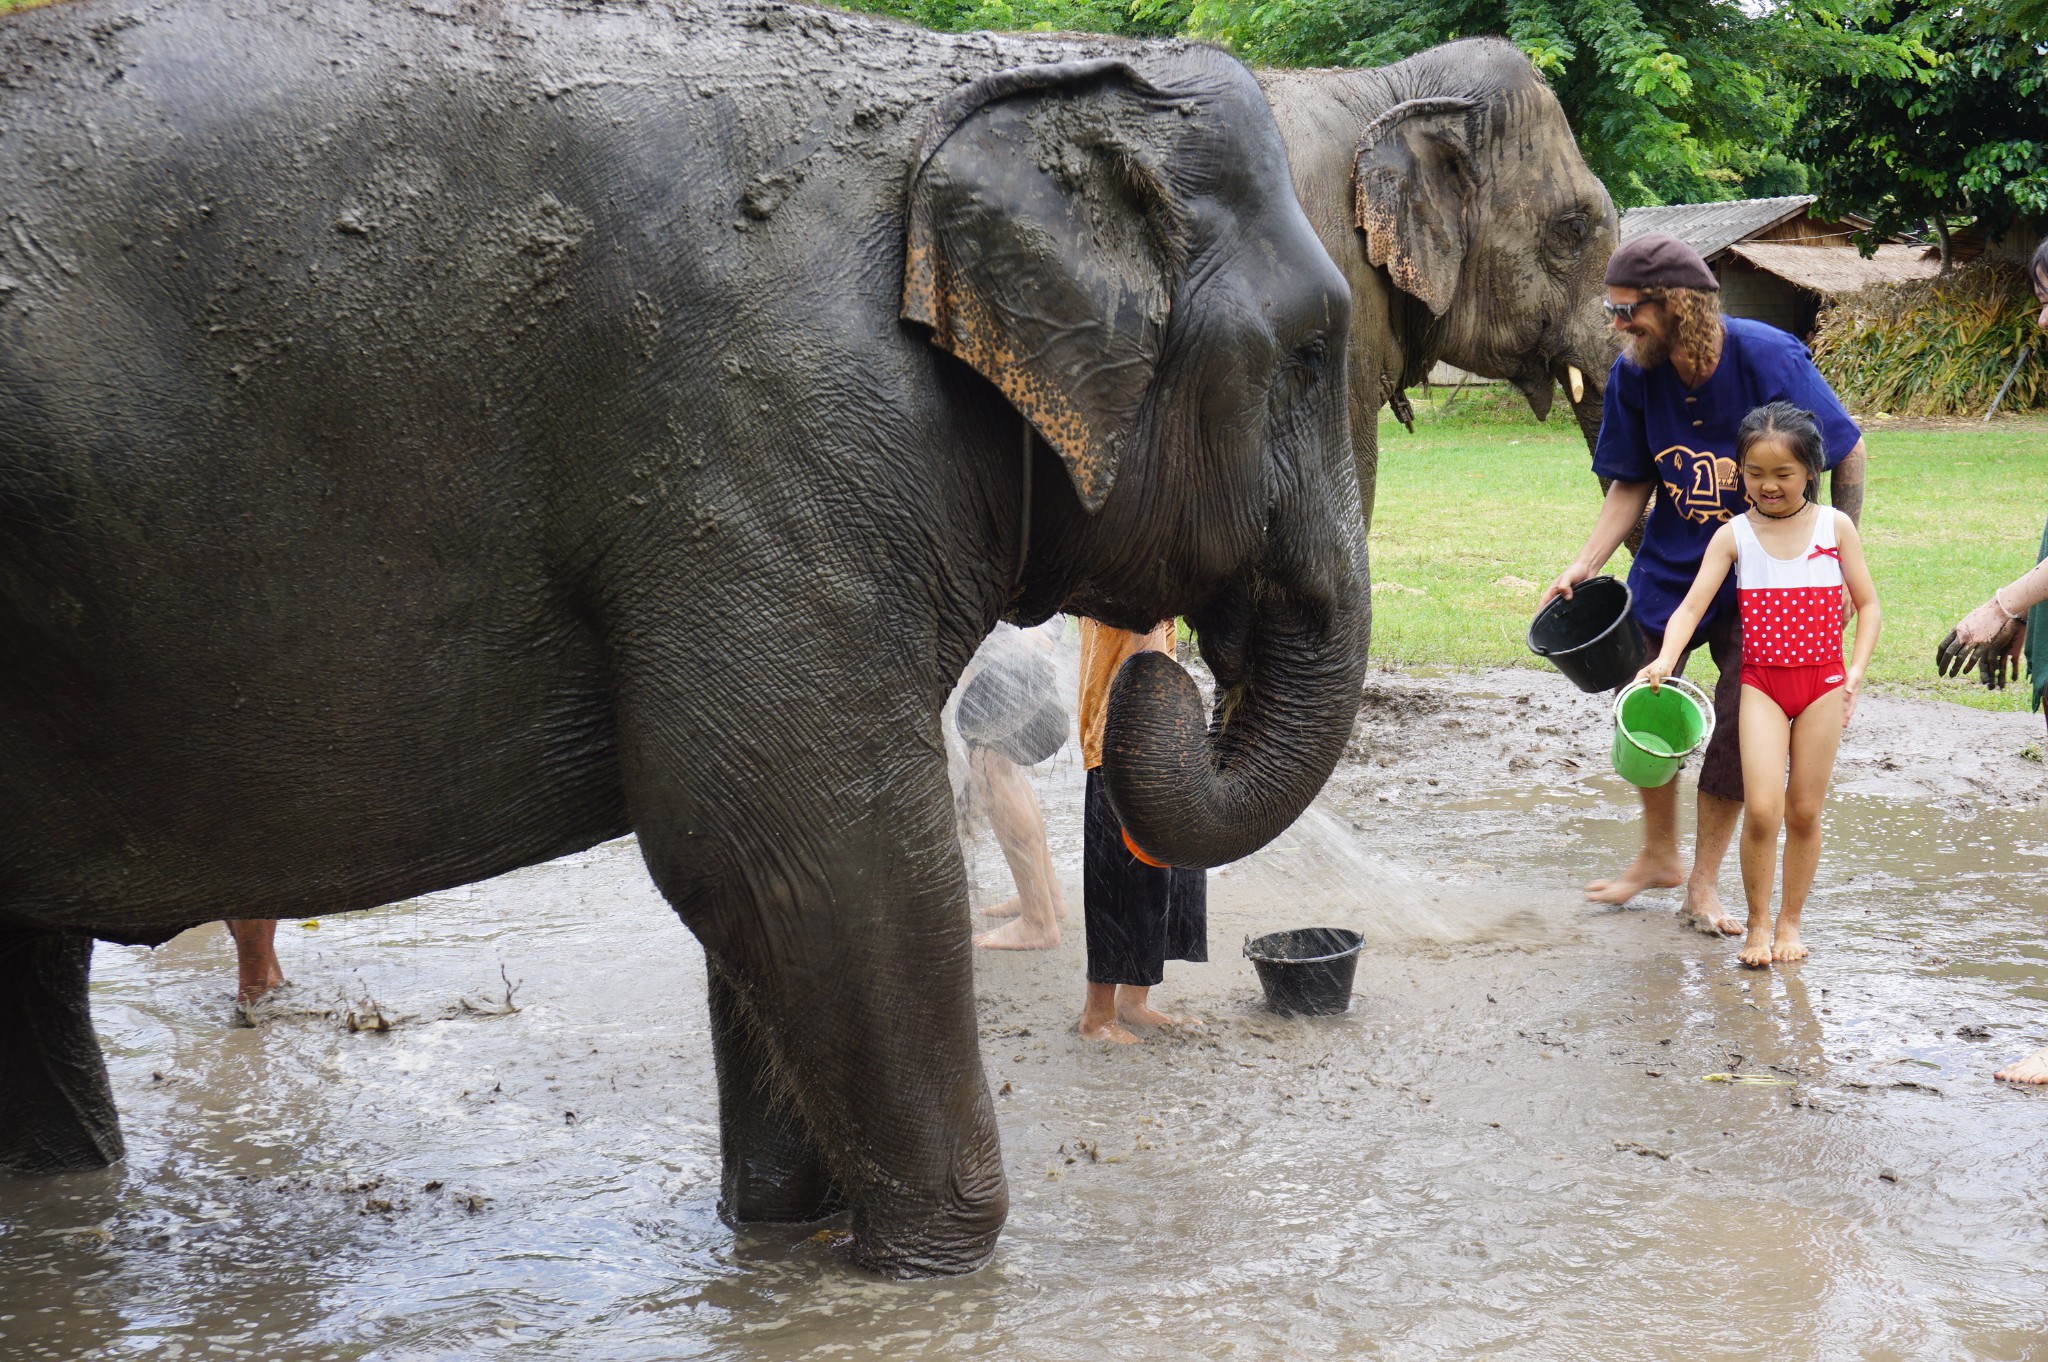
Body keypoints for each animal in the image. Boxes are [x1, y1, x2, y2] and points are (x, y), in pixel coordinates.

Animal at [4, 0, 1376, 1278]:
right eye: (1311, 352)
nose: (1155, 675)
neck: (968, 75)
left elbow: (770, 873)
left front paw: (781, 1241)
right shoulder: (769, 434)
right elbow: (796, 838)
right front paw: (932, 1272)